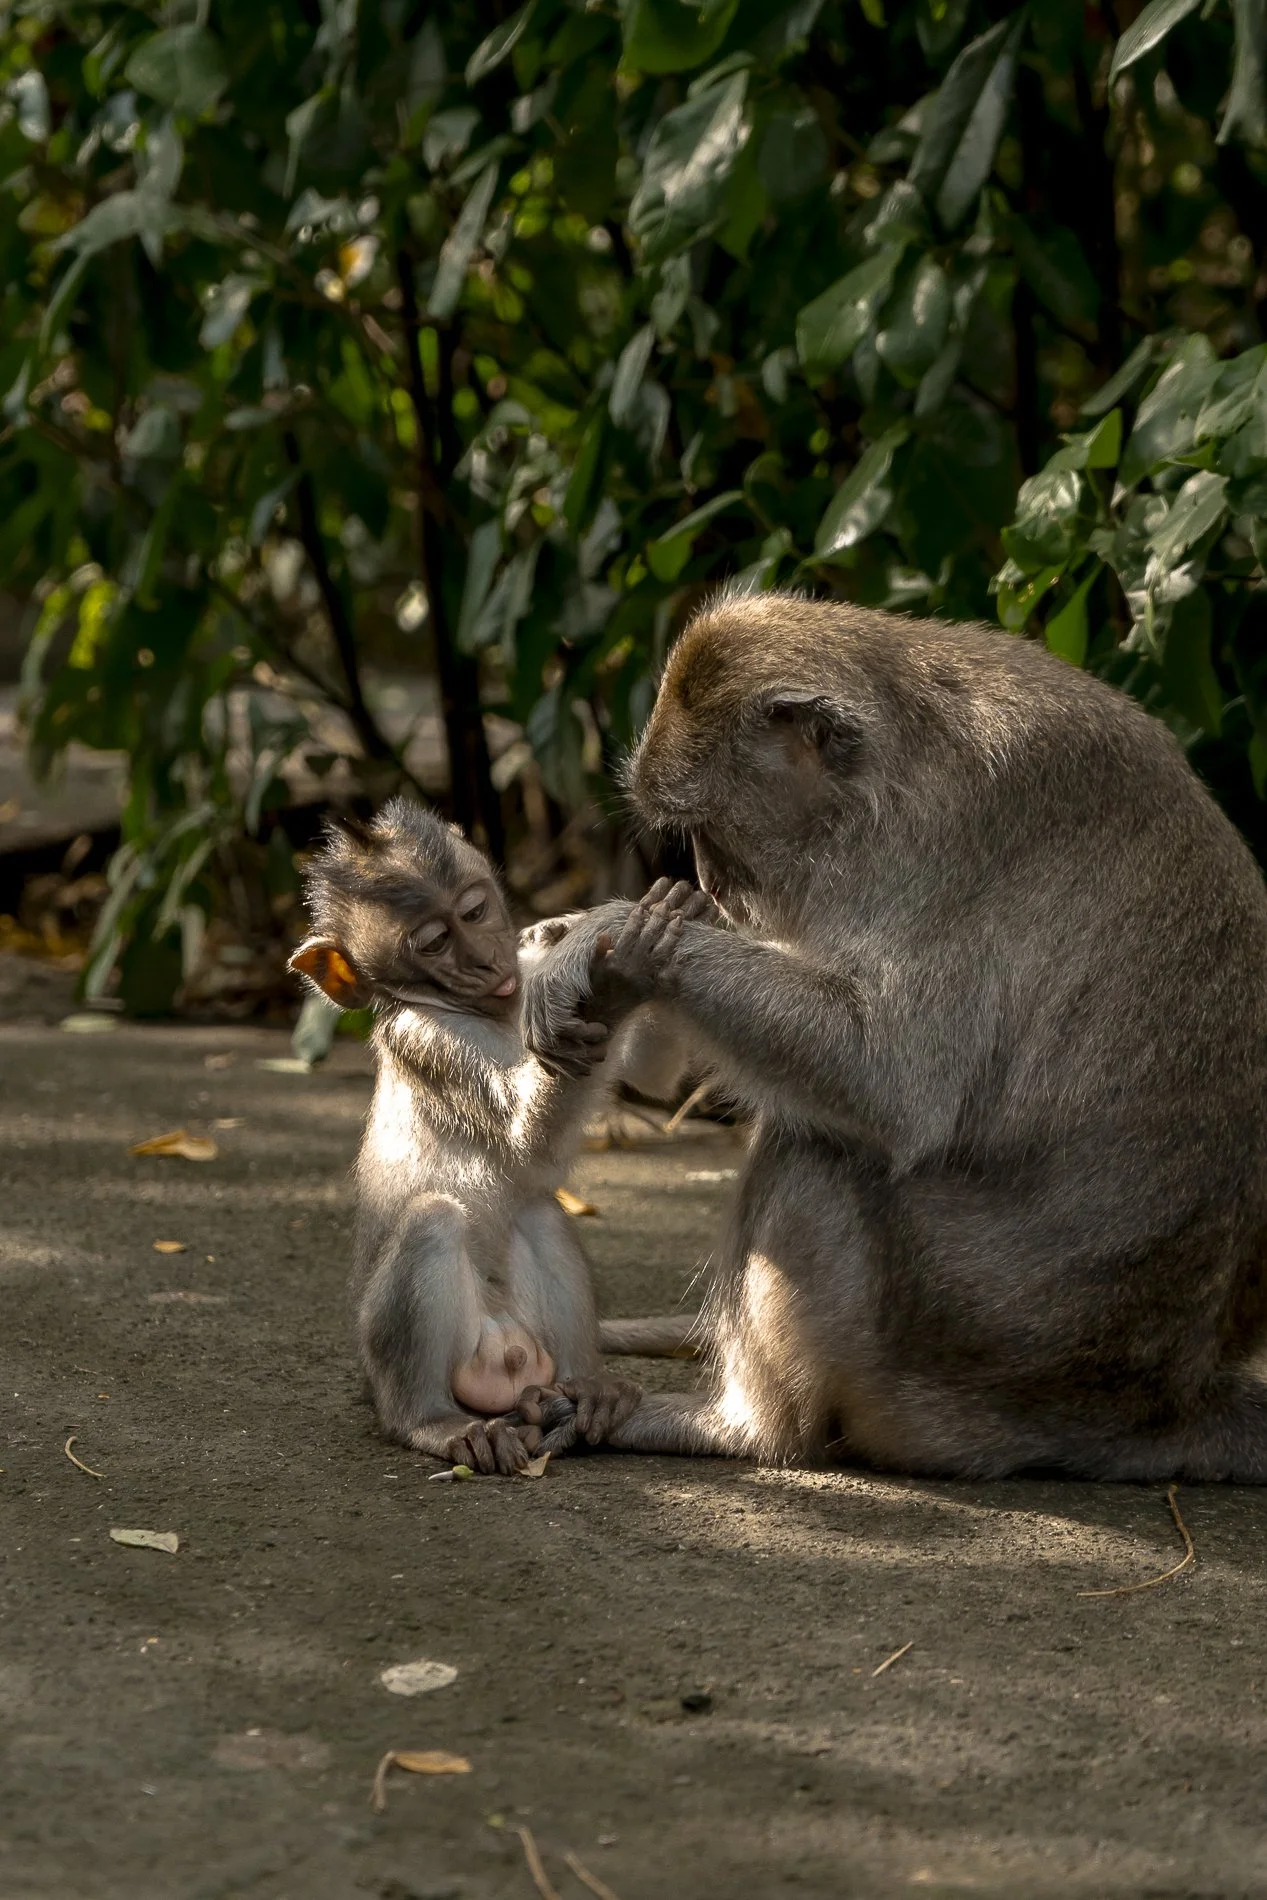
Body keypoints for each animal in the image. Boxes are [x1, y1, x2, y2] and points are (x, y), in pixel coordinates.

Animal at [287, 798, 697, 1474]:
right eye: (435, 942)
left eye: (475, 911)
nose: (485, 958)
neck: (498, 1012)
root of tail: (509, 1356)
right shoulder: (426, 1038)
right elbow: (524, 1142)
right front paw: (618, 977)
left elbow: (656, 1080)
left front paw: (642, 933)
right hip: (395, 1361)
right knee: (433, 1221)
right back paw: (434, 1422)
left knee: (538, 1212)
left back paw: (590, 1392)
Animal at [517, 592, 1267, 1483]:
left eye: (708, 825)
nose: (709, 883)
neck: (894, 758)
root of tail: (1165, 1401)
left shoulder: (942, 840)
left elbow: (893, 1085)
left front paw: (598, 937)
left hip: (952, 1368)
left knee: (819, 1152)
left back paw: (743, 1430)